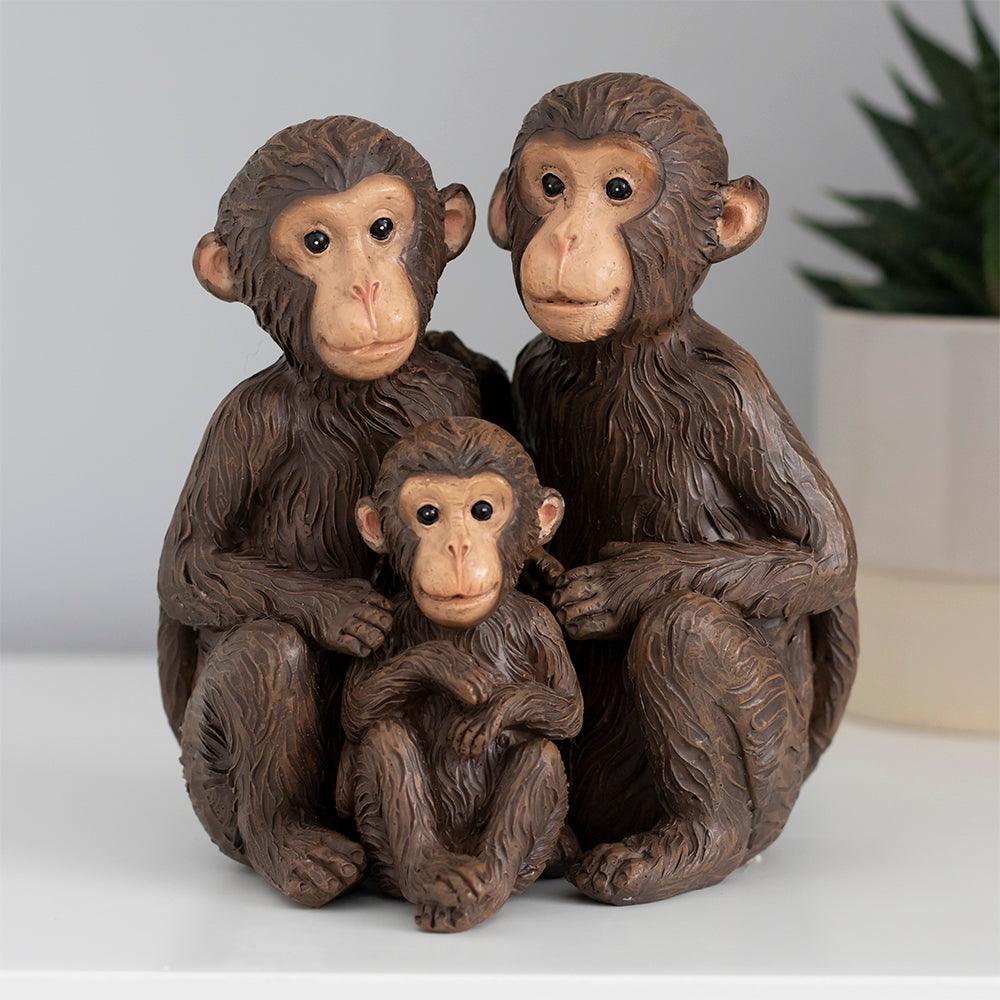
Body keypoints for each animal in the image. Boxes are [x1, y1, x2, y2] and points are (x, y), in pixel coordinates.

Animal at [157, 116, 483, 907]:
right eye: (316, 243)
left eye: (382, 228)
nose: (365, 285)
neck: (353, 394)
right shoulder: (246, 421)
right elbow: (187, 564)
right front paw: (337, 607)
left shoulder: (448, 394)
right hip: (209, 788)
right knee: (264, 654)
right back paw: (294, 848)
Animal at [335, 417, 583, 932]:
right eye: (428, 514)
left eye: (482, 510)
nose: (458, 547)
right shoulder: (391, 619)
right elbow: (357, 706)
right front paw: (447, 666)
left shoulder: (541, 624)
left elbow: (570, 710)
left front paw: (490, 712)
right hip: (380, 846)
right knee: (384, 736)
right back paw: (434, 871)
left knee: (541, 754)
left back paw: (488, 881)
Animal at [488, 74, 859, 905]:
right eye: (552, 185)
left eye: (618, 190)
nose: (566, 236)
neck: (621, 356)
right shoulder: (536, 366)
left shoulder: (732, 392)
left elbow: (826, 558)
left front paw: (623, 585)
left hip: (774, 771)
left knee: (684, 631)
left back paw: (691, 846)